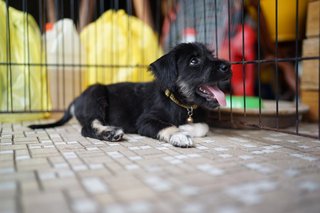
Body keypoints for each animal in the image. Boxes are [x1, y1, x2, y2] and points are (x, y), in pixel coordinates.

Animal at [29, 42, 230, 147]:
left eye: (211, 55)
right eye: (194, 61)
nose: (227, 66)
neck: (178, 102)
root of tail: (76, 100)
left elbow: (203, 126)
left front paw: (186, 128)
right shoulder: (146, 121)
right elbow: (167, 126)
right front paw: (179, 134)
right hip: (96, 93)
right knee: (87, 127)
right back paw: (110, 133)